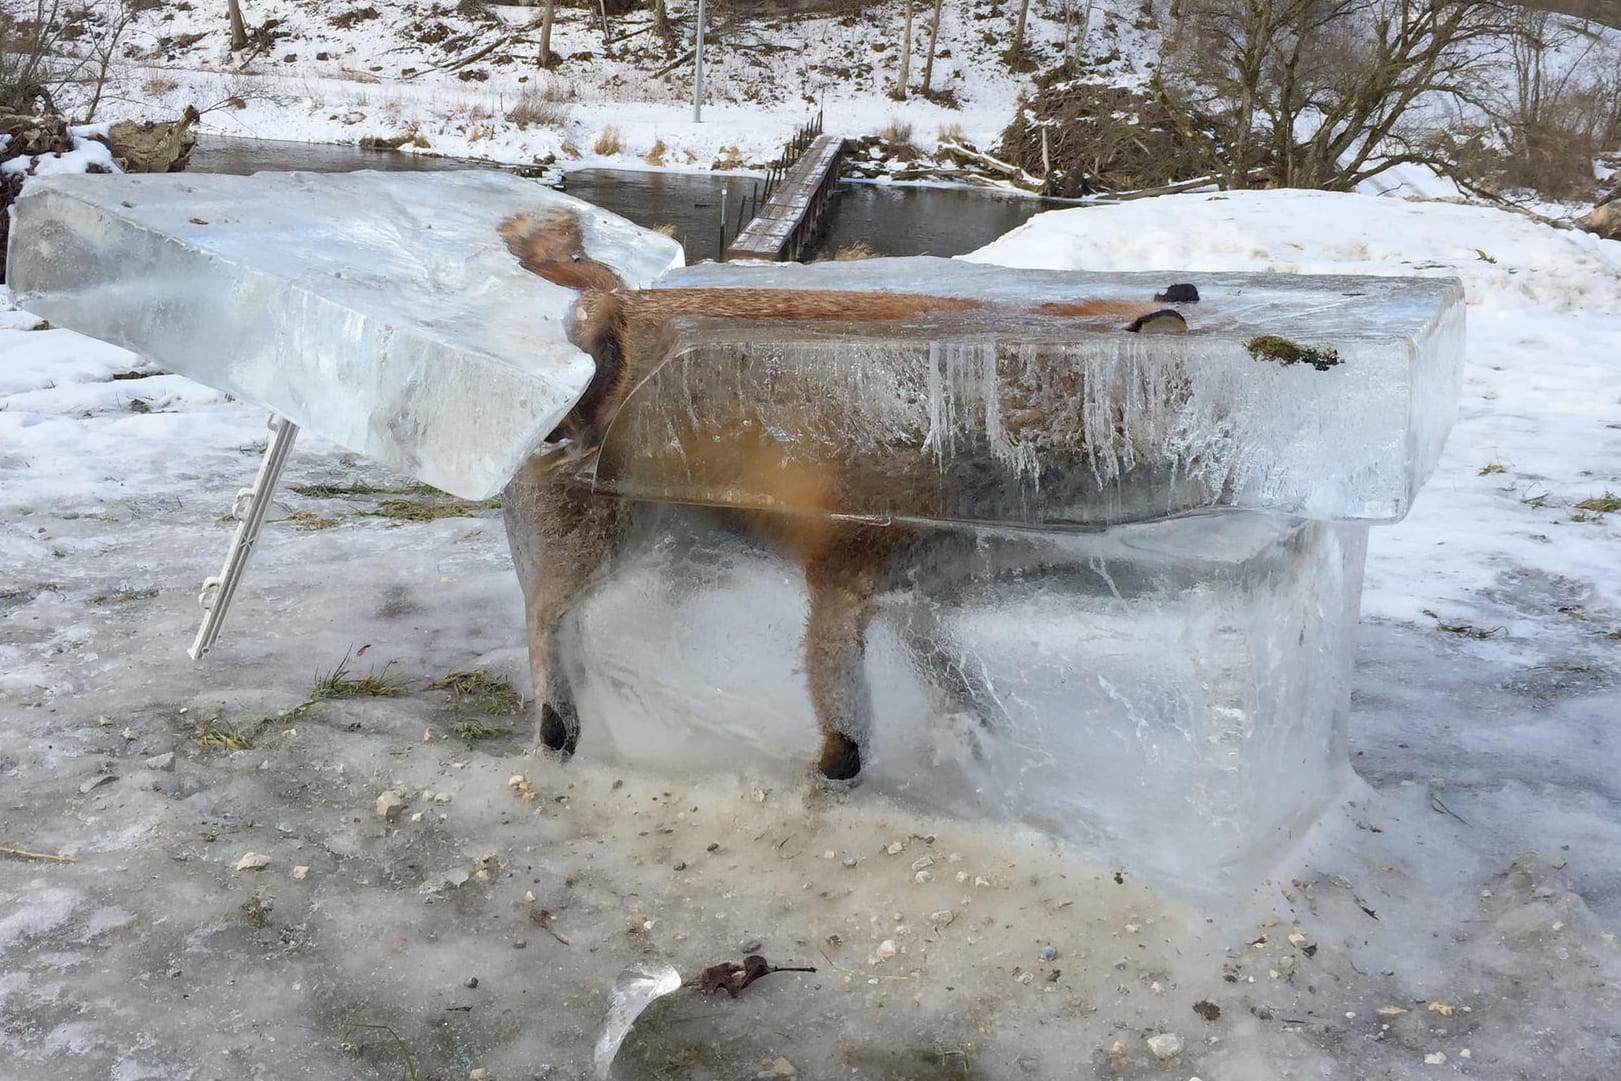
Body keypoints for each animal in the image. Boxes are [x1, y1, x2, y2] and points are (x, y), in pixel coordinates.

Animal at [496, 207, 1193, 781]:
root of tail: (619, 303)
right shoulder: (841, 573)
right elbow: (848, 729)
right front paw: (834, 777)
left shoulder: (916, 591)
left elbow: (959, 684)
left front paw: (974, 741)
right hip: (604, 543)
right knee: (544, 617)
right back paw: (559, 725)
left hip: (682, 557)